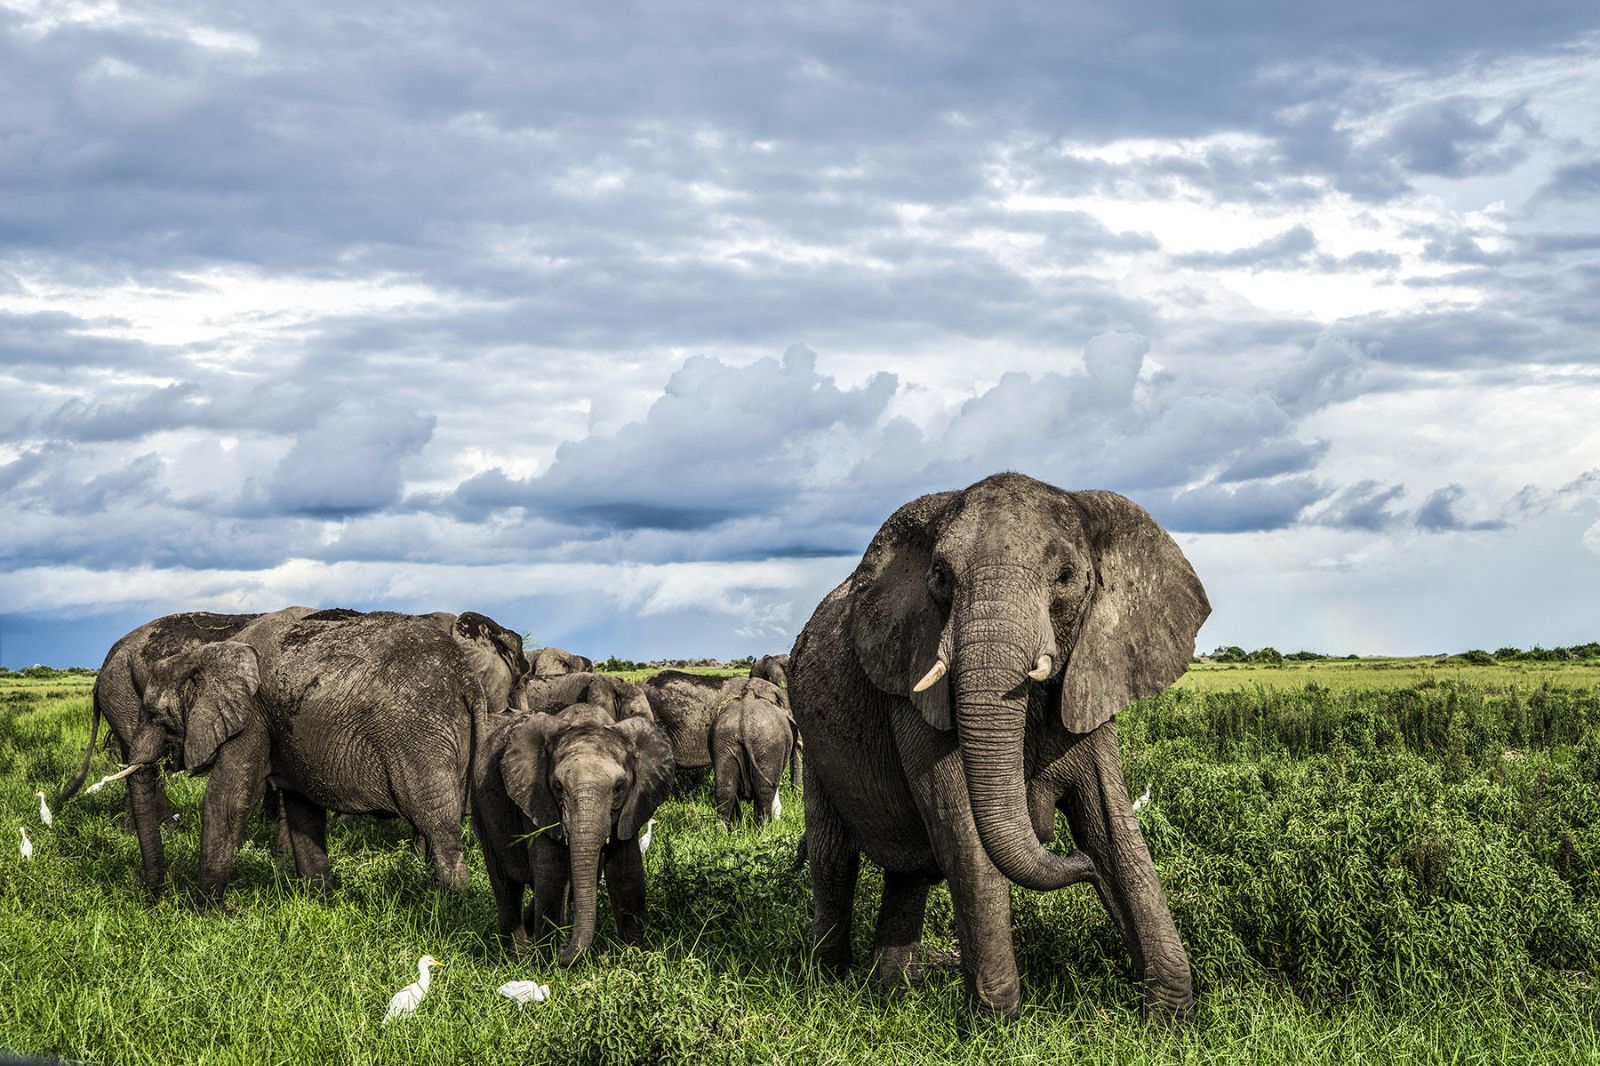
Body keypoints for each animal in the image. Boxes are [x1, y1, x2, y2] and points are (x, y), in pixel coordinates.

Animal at [138, 608, 492, 900]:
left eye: (154, 714)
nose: (157, 899)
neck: (211, 651)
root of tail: (467, 679)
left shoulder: (253, 719)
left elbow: (227, 801)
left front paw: (203, 910)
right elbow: (302, 811)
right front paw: (321, 902)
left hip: (420, 736)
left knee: (437, 824)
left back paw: (452, 904)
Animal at [472, 703, 674, 965]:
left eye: (619, 787)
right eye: (558, 787)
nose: (562, 948)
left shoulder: (633, 804)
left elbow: (626, 871)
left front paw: (634, 959)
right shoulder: (536, 797)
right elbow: (551, 871)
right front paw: (546, 963)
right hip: (480, 807)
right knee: (506, 884)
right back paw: (516, 957)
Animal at [711, 690, 794, 828]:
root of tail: (745, 723)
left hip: (723, 743)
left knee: (725, 789)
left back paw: (723, 831)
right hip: (769, 745)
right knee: (764, 791)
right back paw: (764, 830)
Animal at [790, 472, 1209, 1019]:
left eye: (1066, 576)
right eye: (941, 577)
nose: (1080, 864)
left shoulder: (1093, 670)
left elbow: (1112, 823)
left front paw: (1167, 1019)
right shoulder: (913, 679)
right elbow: (963, 828)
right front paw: (999, 1023)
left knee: (908, 873)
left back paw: (894, 992)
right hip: (813, 742)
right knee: (834, 857)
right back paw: (828, 987)